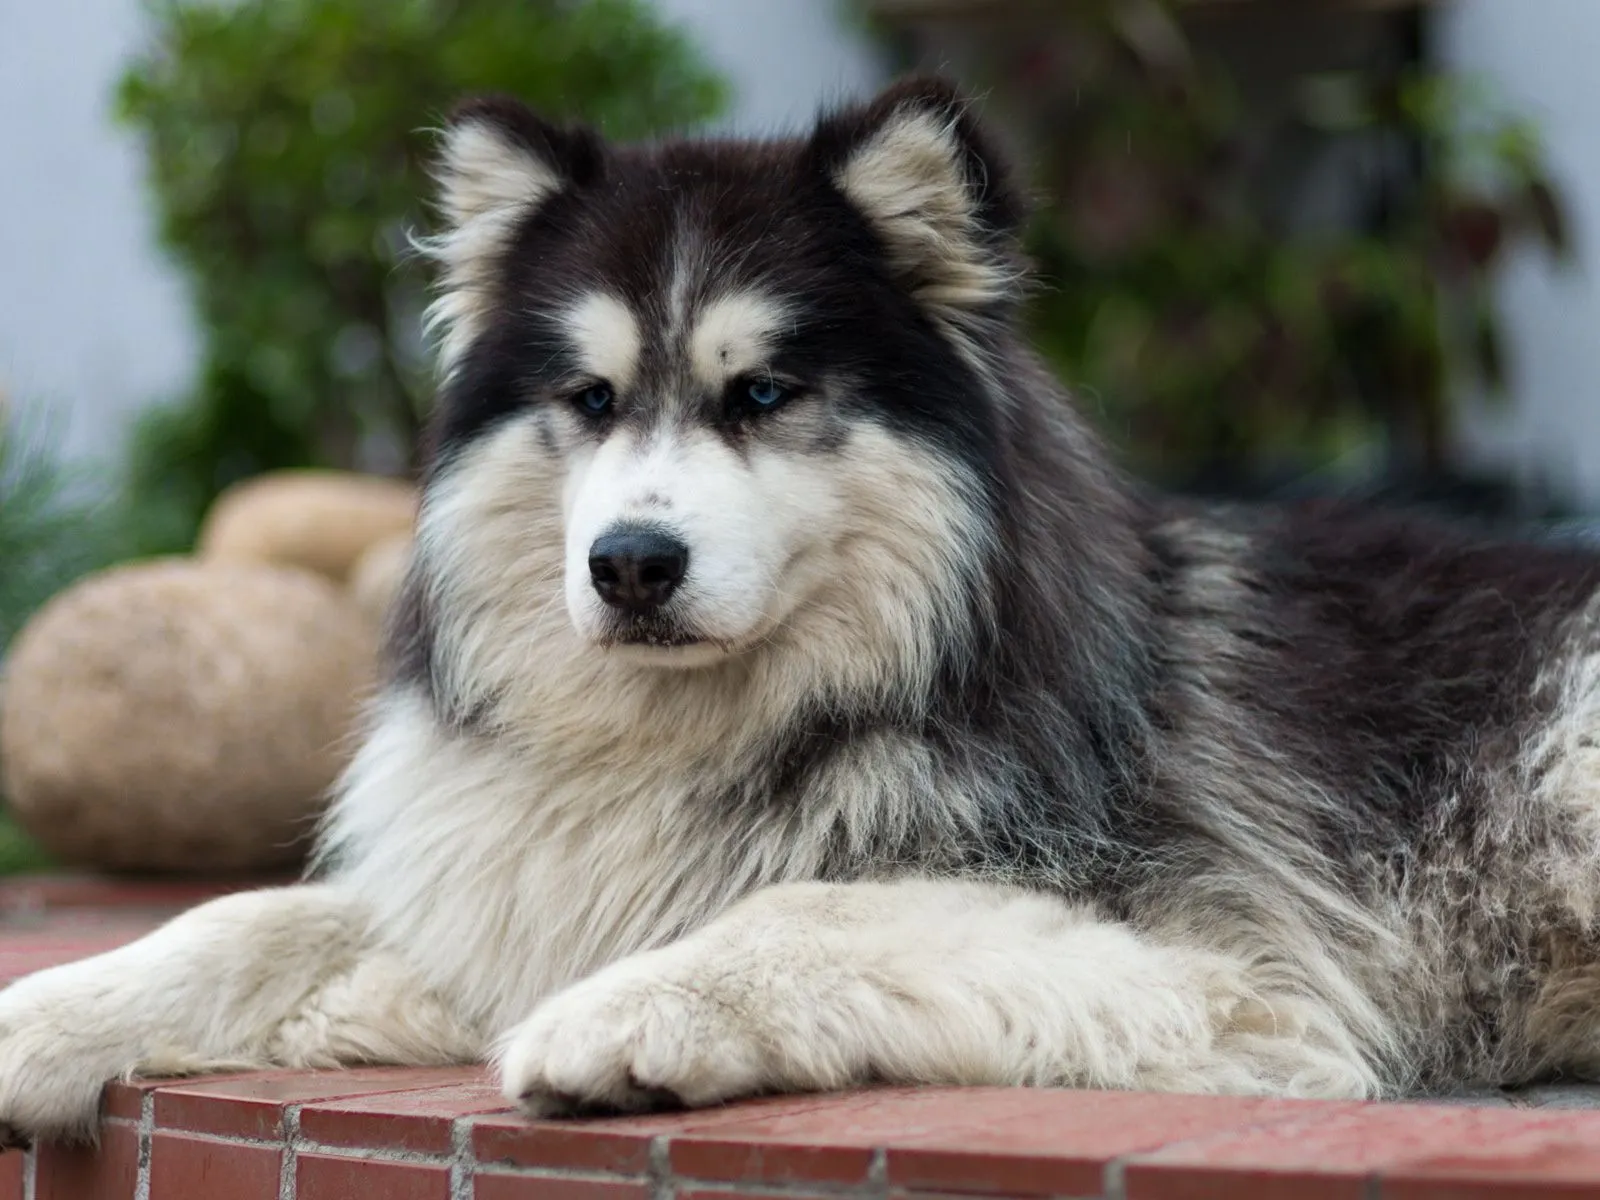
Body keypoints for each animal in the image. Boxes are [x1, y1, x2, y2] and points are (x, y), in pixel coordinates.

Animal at [3, 75, 1600, 1145]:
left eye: (762, 393)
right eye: (591, 399)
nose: (631, 563)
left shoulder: (1243, 980)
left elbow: (815, 906)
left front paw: (623, 1016)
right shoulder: (525, 886)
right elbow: (247, 919)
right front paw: (49, 1012)